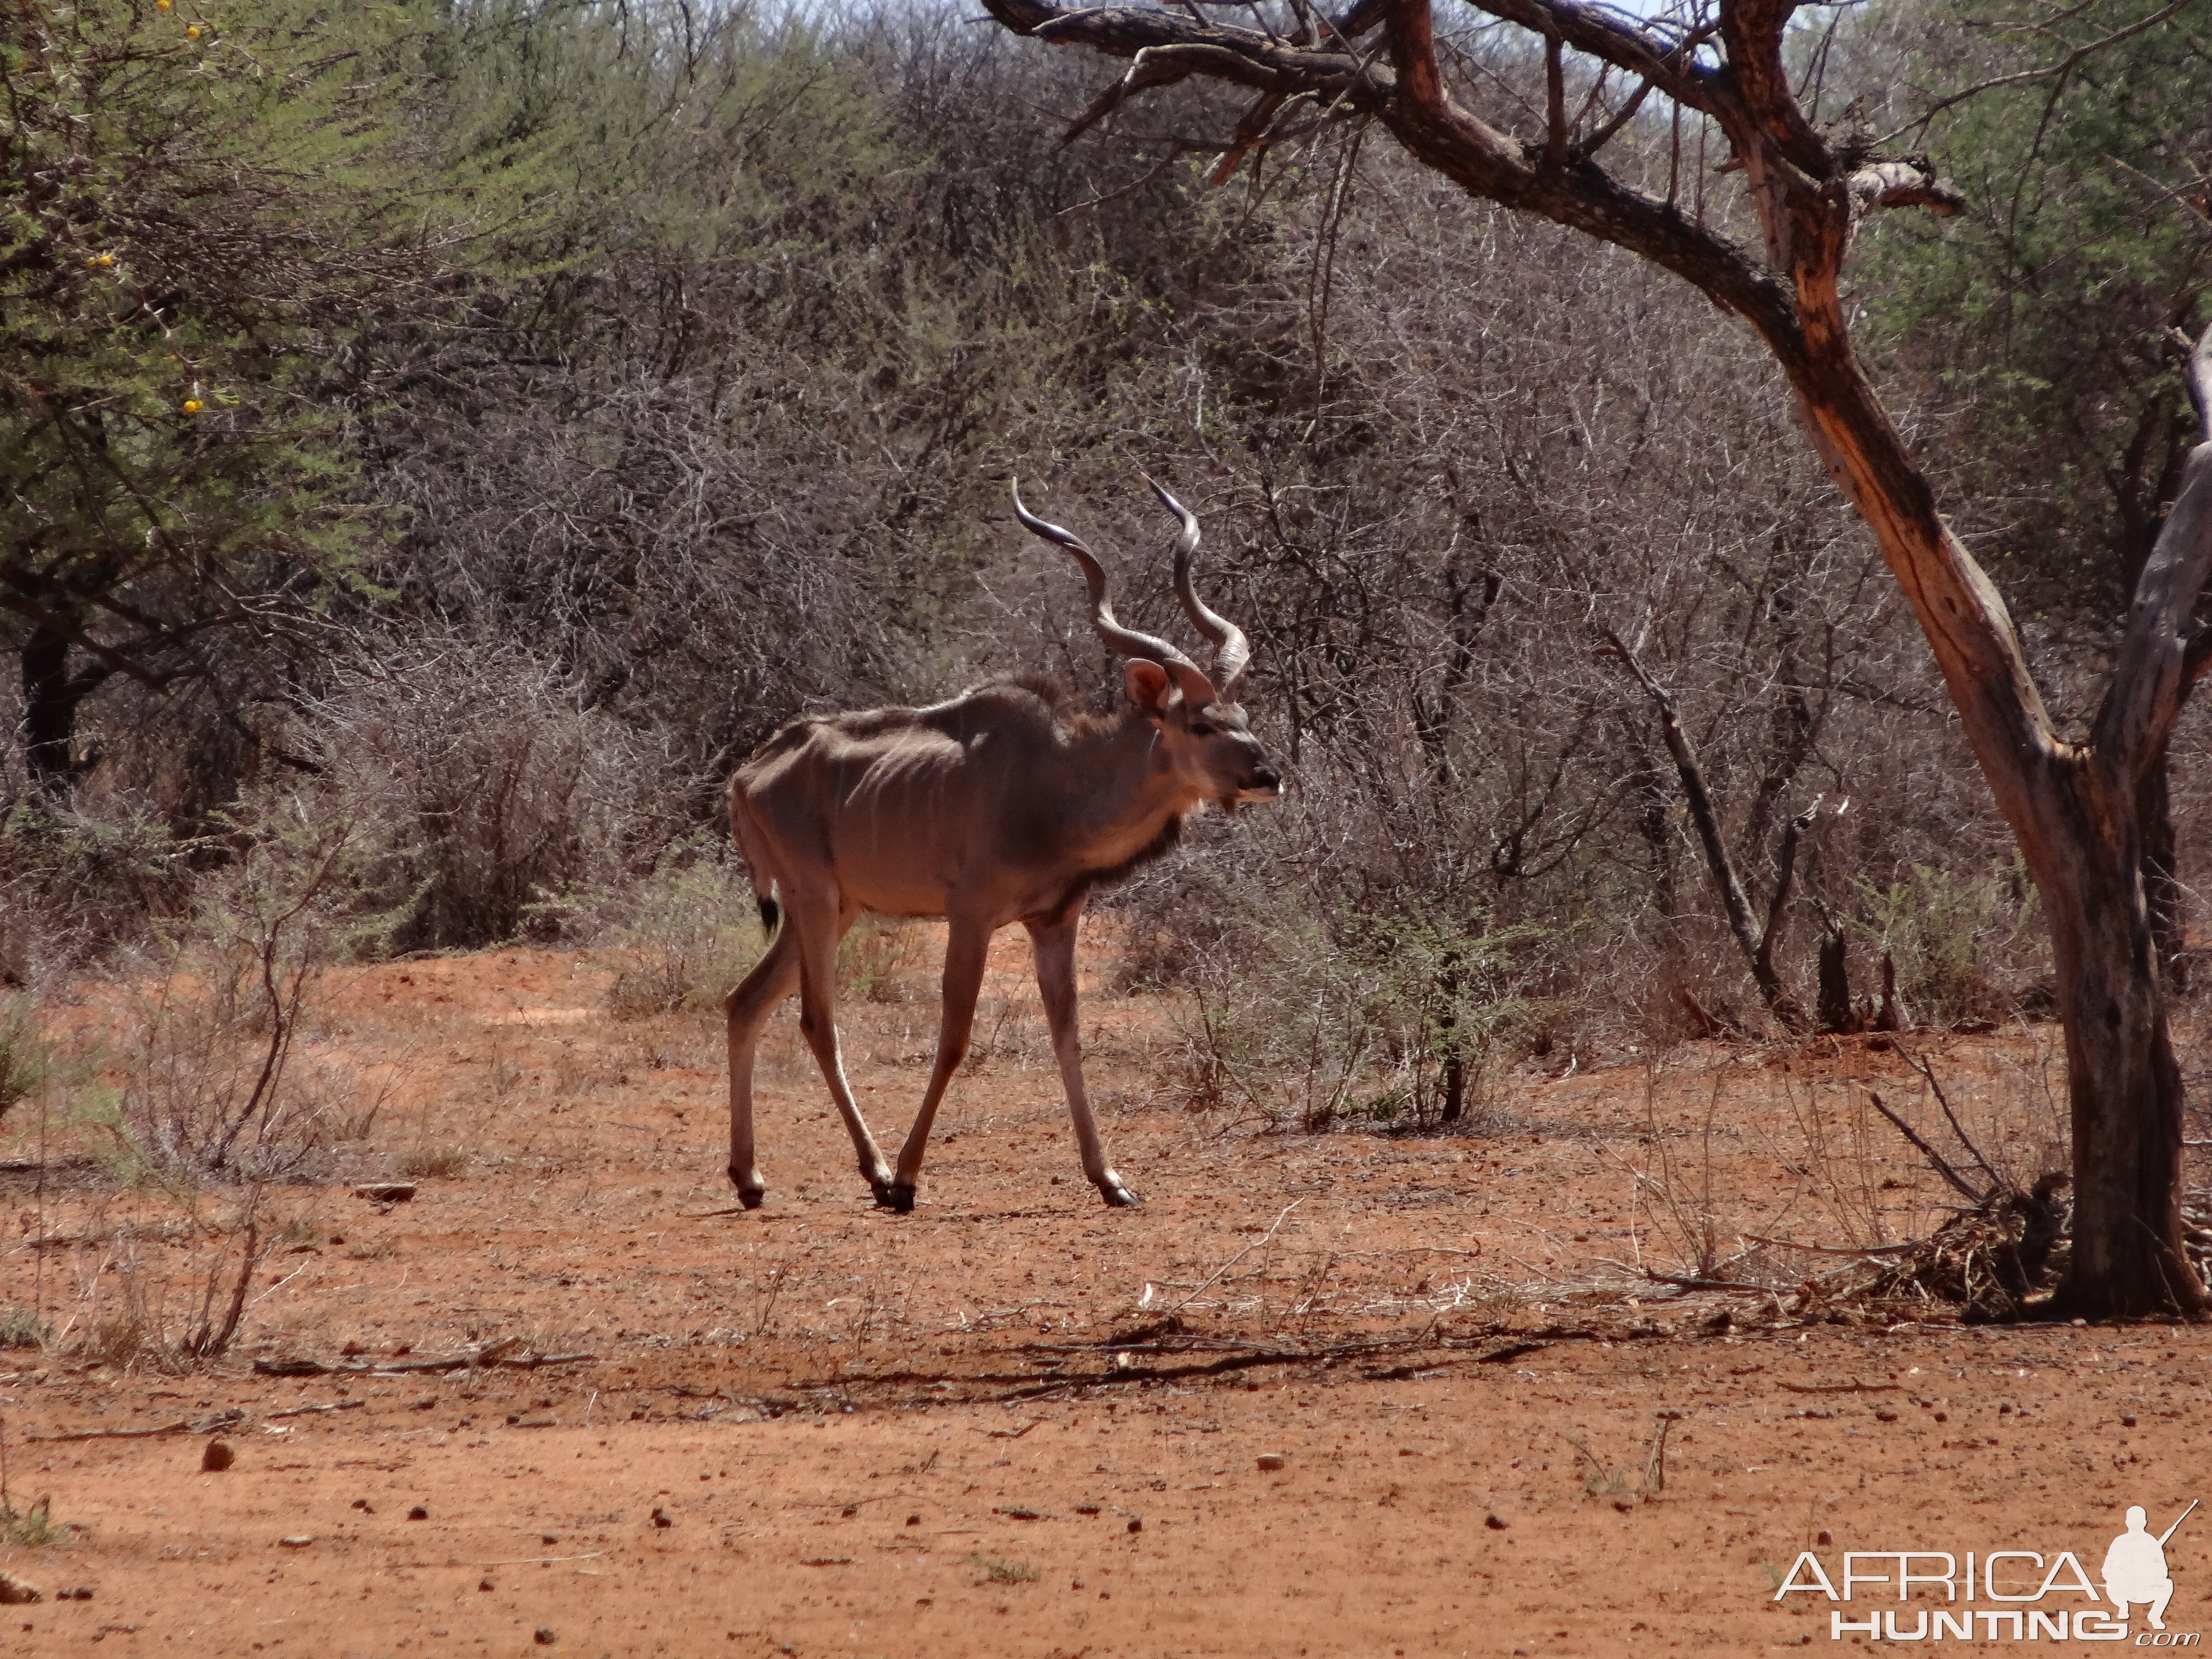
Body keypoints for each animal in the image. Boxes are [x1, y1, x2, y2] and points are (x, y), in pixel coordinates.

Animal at [725, 473, 1283, 1212]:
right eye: (1200, 723)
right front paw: (909, 1179)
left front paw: (1111, 1180)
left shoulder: (1054, 922)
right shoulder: (972, 916)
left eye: (1242, 715)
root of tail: (747, 774)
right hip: (814, 903)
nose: (1268, 777)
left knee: (745, 1003)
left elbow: (1067, 1037)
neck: (1056, 783)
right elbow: (955, 1037)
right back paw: (876, 1173)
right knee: (817, 1022)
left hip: (833, 909)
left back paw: (750, 1177)